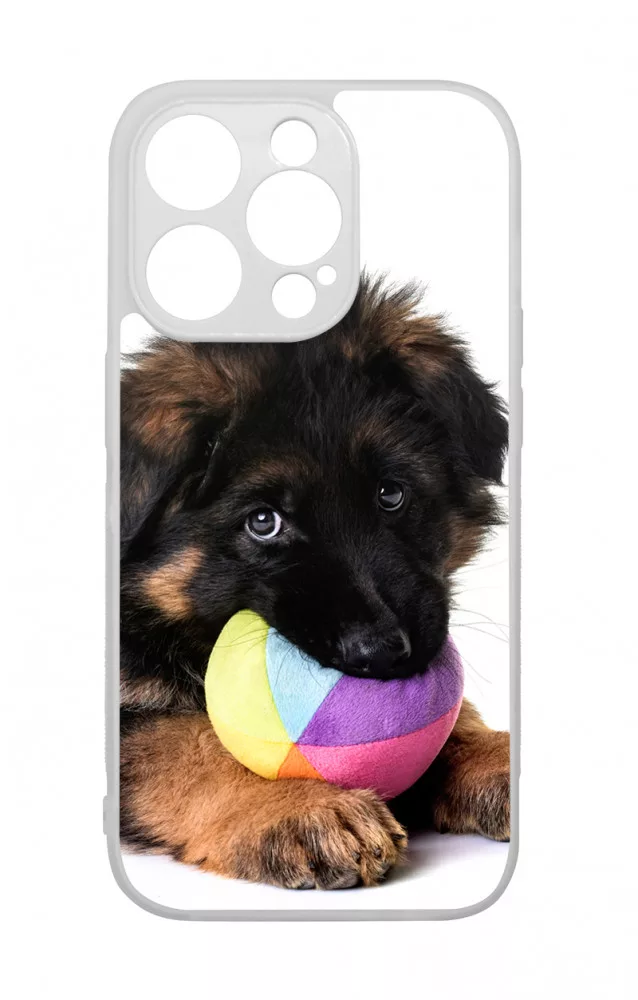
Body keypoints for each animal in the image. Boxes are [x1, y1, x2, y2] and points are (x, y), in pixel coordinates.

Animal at [119, 274, 510, 889]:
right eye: (263, 522)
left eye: (390, 494)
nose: (381, 654)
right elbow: (182, 745)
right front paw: (296, 806)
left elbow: (456, 722)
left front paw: (498, 757)